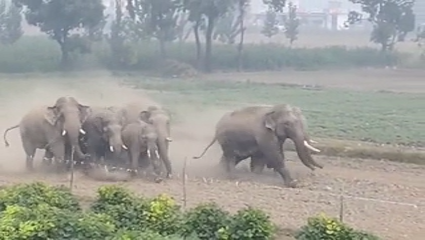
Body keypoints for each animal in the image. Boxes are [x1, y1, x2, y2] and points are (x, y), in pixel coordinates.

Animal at [192, 103, 322, 188]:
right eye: (287, 124)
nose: (315, 170)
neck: (274, 109)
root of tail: (217, 126)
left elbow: (266, 156)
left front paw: (256, 176)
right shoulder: (264, 133)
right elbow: (274, 155)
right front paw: (293, 183)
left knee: (232, 157)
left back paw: (219, 171)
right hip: (226, 140)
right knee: (231, 156)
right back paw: (233, 176)